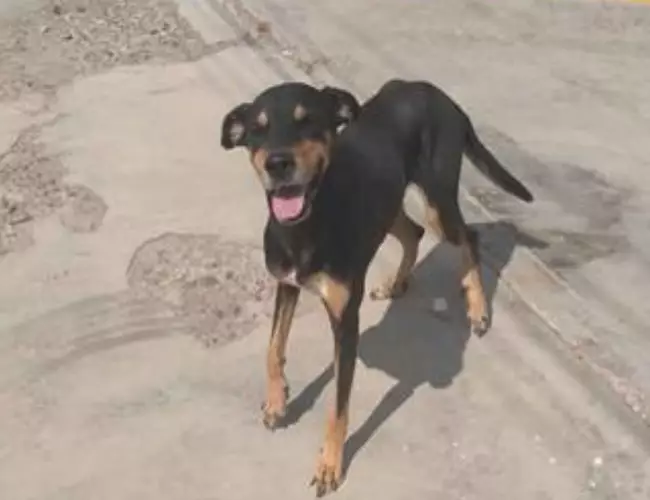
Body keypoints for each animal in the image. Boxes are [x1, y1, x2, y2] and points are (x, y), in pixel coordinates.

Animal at [220, 79, 536, 496]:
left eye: (307, 121)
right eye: (258, 129)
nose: (278, 164)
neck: (307, 223)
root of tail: (434, 91)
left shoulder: (346, 322)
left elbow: (338, 406)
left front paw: (330, 464)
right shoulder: (285, 284)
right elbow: (273, 349)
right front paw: (277, 402)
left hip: (438, 200)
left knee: (469, 236)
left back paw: (478, 308)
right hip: (391, 205)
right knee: (413, 232)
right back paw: (397, 283)